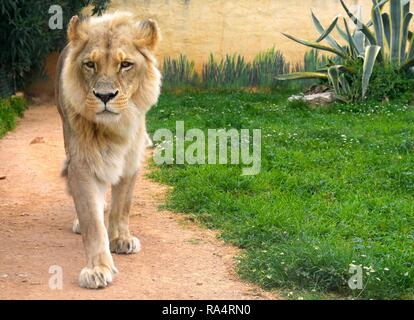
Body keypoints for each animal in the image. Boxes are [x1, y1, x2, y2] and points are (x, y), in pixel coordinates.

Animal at [55, 11, 163, 290]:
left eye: (125, 64)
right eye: (89, 65)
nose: (104, 96)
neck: (113, 129)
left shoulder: (131, 162)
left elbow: (122, 206)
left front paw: (121, 239)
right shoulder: (81, 165)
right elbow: (93, 224)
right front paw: (97, 268)